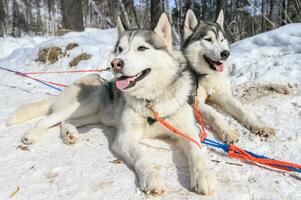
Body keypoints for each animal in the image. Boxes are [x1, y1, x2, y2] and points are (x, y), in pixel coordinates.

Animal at [7, 13, 216, 195]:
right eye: (120, 49)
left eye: (142, 48)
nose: (116, 63)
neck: (152, 100)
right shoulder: (125, 138)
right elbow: (142, 156)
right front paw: (151, 177)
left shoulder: (188, 132)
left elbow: (197, 153)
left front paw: (203, 176)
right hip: (91, 99)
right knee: (48, 119)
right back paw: (31, 135)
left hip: (95, 116)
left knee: (66, 121)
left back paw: (70, 133)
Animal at [180, 9, 274, 144]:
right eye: (208, 39)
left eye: (222, 40)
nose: (226, 53)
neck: (209, 75)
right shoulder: (195, 103)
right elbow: (215, 115)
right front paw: (228, 131)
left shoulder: (224, 95)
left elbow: (242, 110)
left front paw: (258, 125)